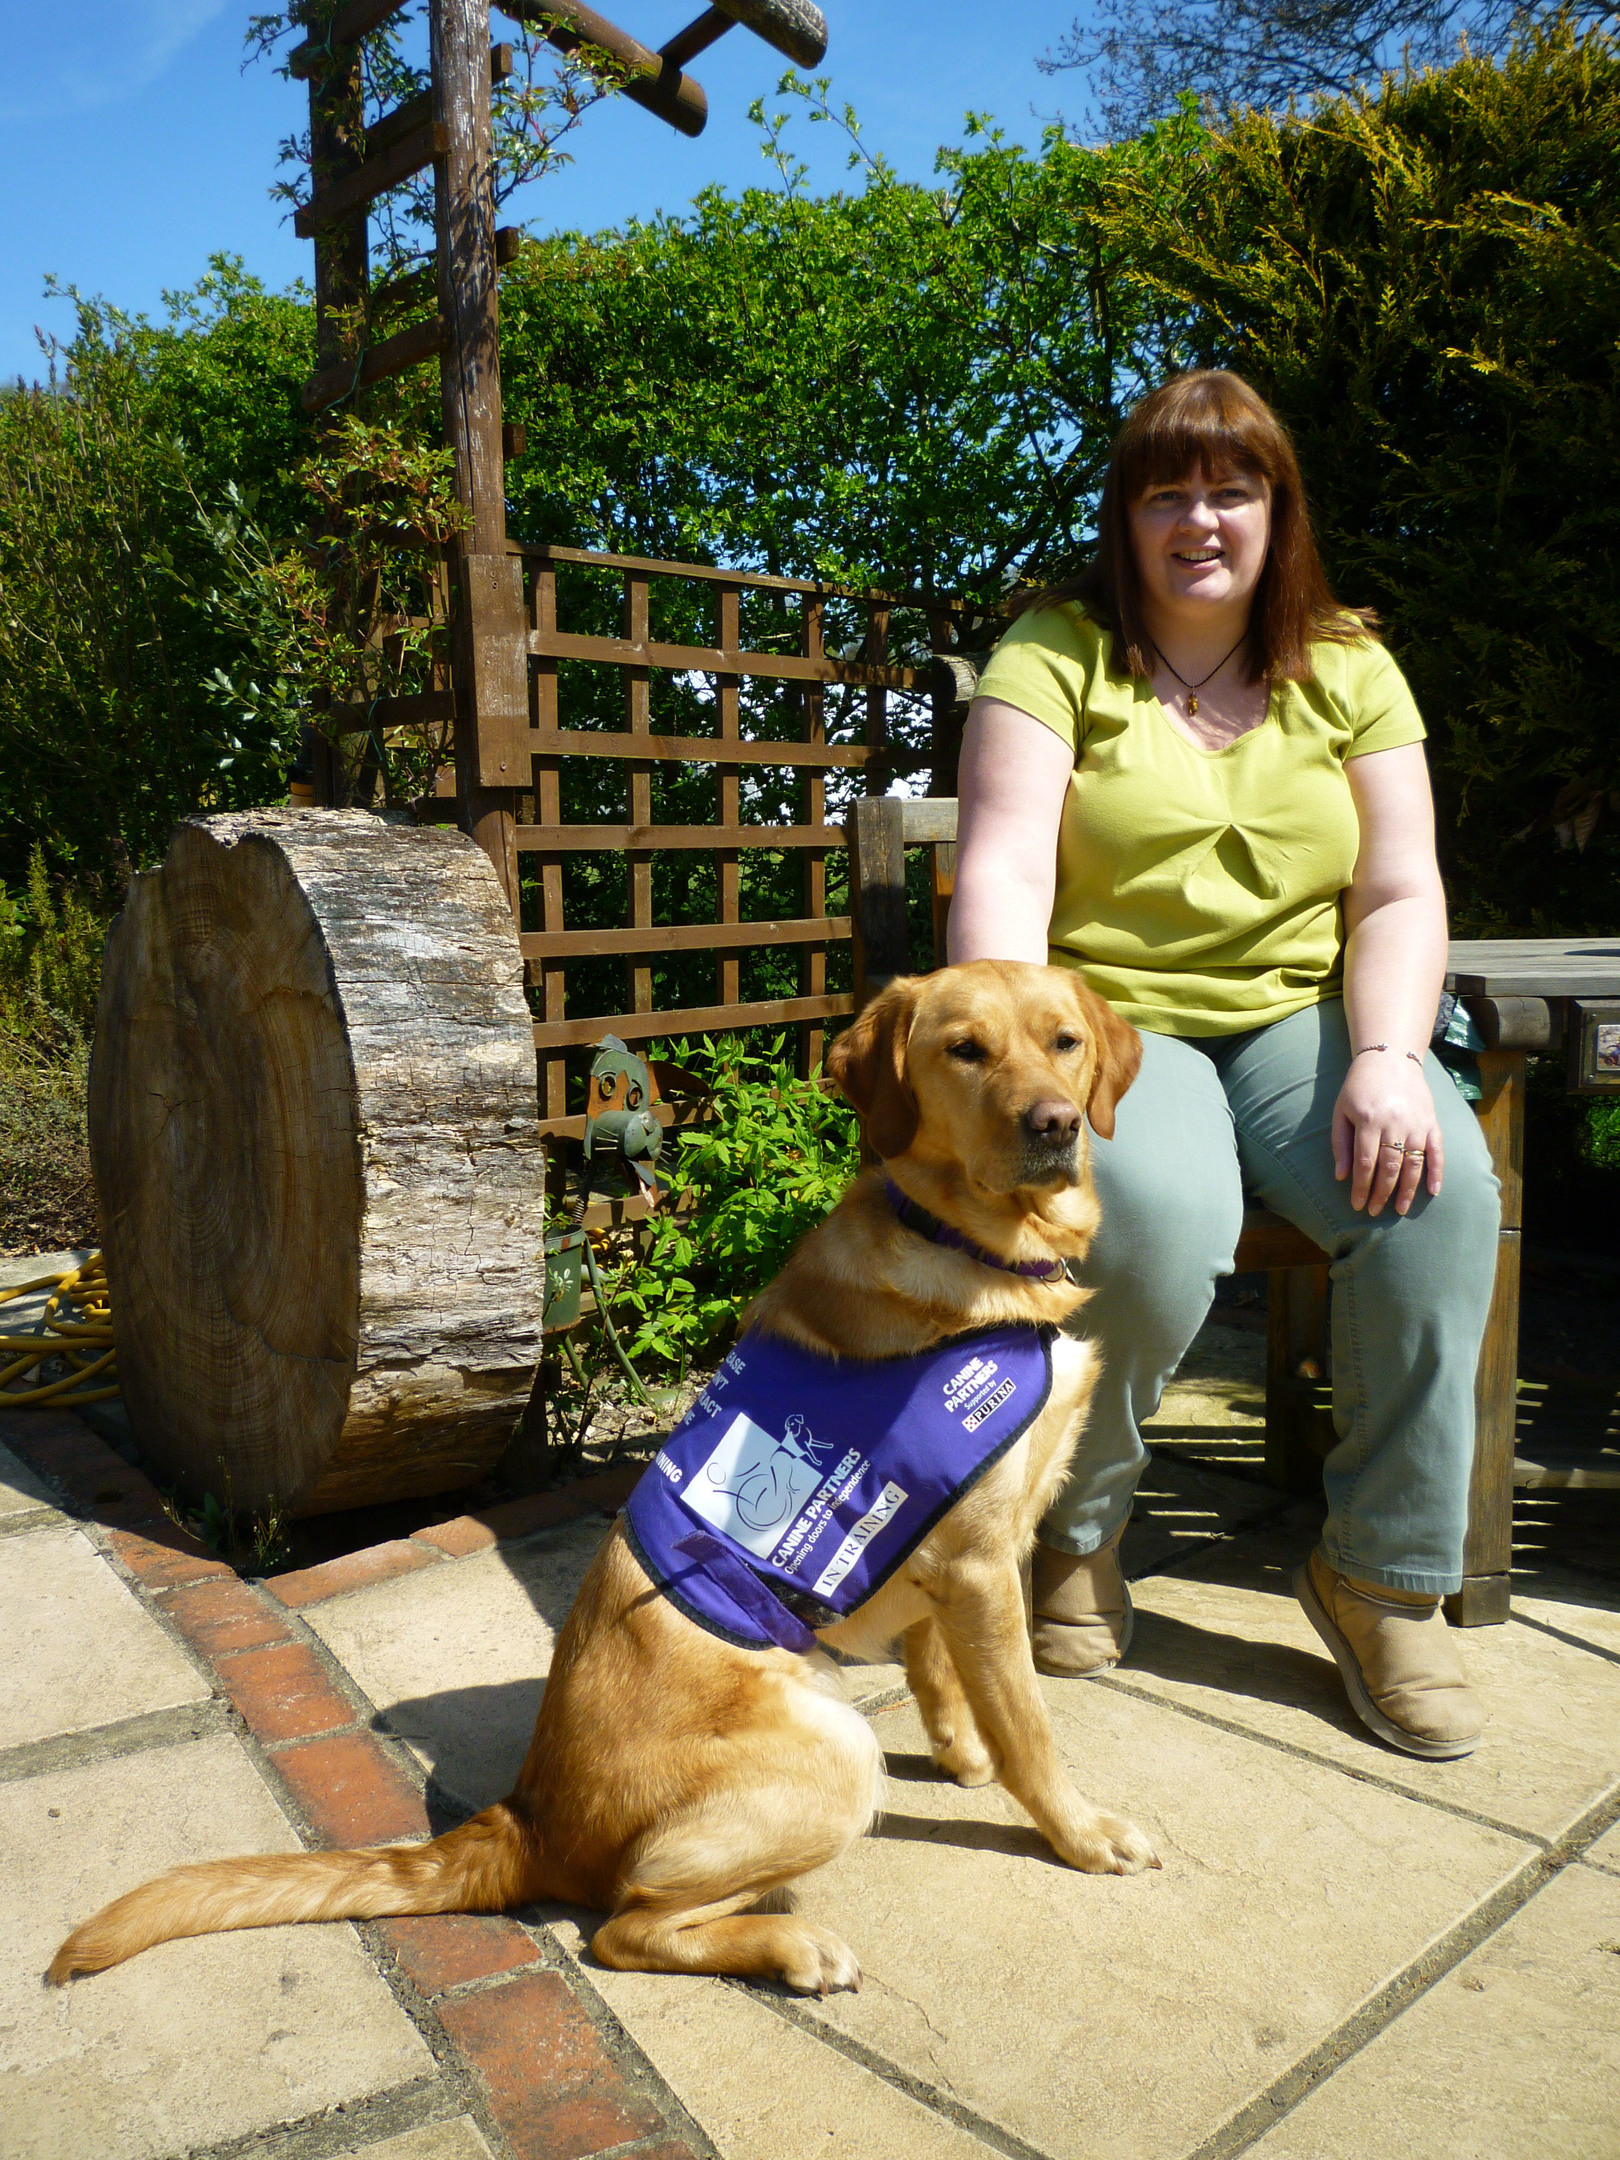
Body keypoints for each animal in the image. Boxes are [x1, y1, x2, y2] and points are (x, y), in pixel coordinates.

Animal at [50, 963, 1157, 1987]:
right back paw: (792, 1946)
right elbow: (1030, 1726)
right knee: (626, 1927)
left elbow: (942, 1673)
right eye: (965, 1051)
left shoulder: (942, 1552)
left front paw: (964, 1758)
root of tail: (527, 1822)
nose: (1055, 1125)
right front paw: (1080, 1832)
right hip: (835, 1746)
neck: (975, 1244)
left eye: (1063, 1042)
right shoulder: (979, 1562)